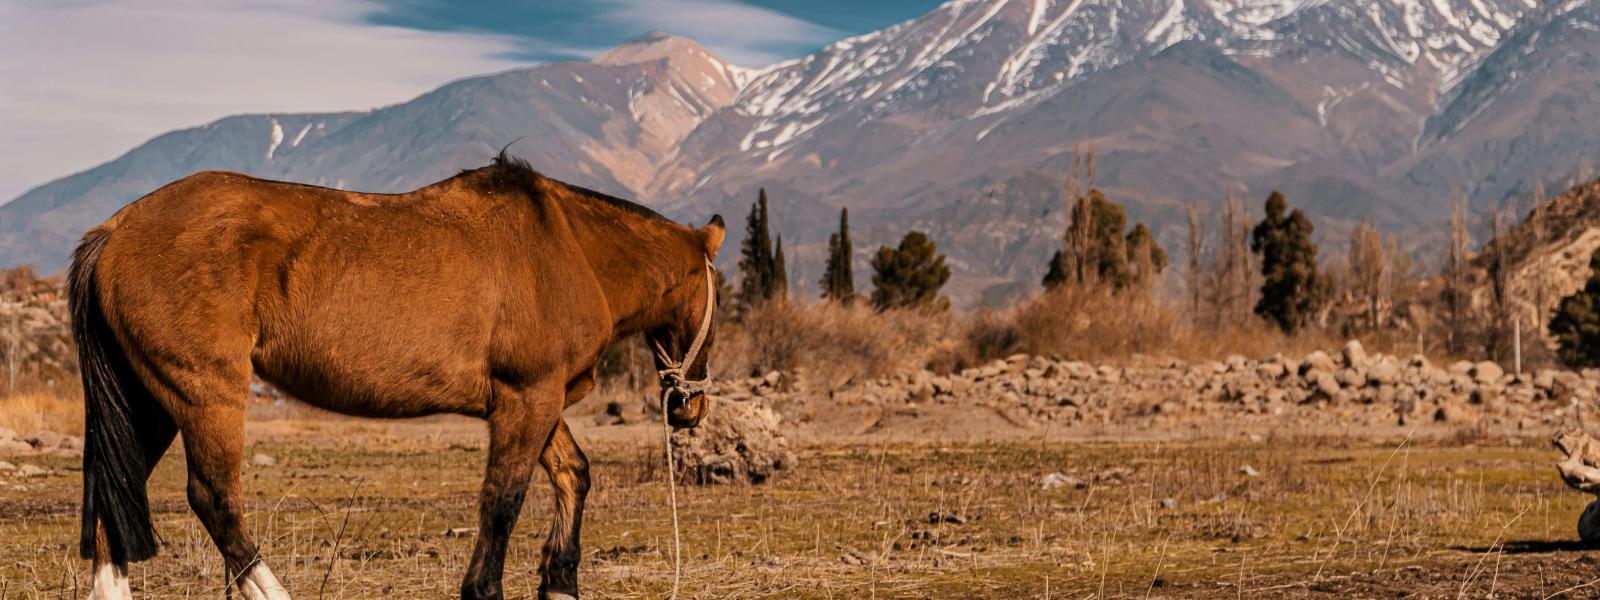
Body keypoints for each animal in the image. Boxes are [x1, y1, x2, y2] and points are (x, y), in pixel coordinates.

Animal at [72, 153, 723, 600]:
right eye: (714, 288)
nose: (690, 407)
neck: (570, 248)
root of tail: (114, 230)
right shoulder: (527, 398)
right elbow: (503, 500)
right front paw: (485, 588)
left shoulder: (539, 401)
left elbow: (572, 475)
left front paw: (559, 581)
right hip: (206, 395)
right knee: (215, 499)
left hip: (150, 402)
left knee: (112, 499)